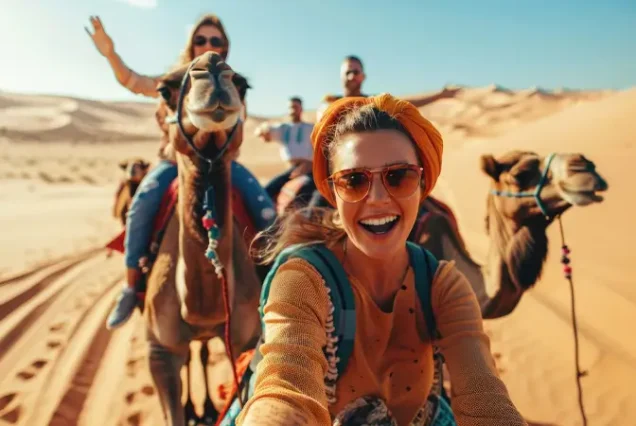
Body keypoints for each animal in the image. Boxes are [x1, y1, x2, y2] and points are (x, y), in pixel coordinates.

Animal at [142, 52, 264, 426]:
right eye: (164, 89)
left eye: (242, 83)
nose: (211, 66)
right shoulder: (159, 350)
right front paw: (185, 409)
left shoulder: (248, 341)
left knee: (204, 348)